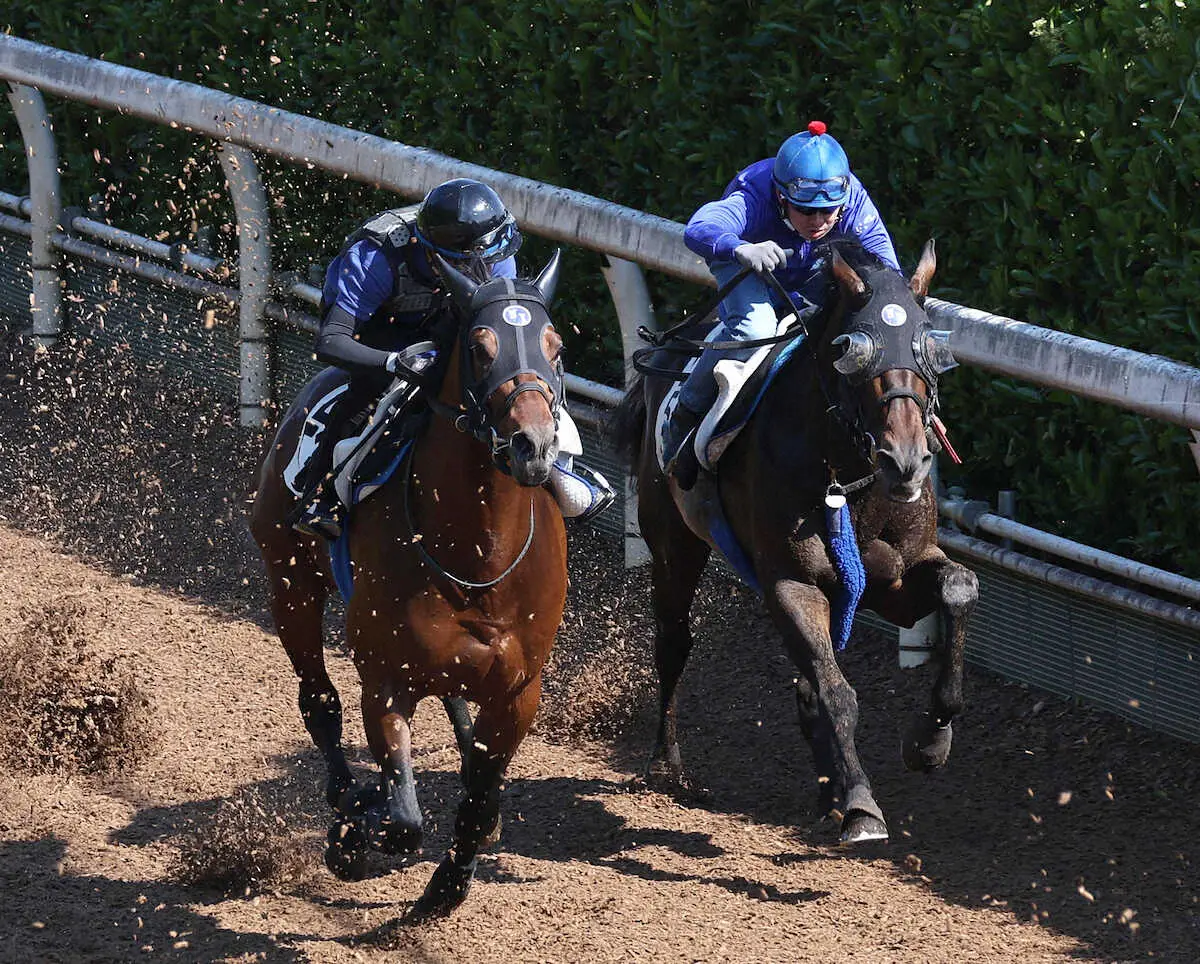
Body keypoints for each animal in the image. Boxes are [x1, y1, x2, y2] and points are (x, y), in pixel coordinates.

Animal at [249, 252, 566, 917]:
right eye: (479, 348)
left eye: (554, 347)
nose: (532, 446)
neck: (479, 555)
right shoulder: (386, 678)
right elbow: (402, 820)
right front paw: (354, 830)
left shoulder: (518, 691)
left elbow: (477, 803)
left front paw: (447, 886)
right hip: (289, 579)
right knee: (319, 699)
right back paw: (347, 801)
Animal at [604, 238, 979, 845]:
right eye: (852, 349)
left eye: (929, 345)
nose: (905, 461)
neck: (847, 478)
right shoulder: (791, 581)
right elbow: (835, 691)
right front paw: (861, 805)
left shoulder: (895, 579)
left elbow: (958, 587)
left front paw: (929, 740)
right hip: (672, 536)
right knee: (673, 642)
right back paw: (667, 765)